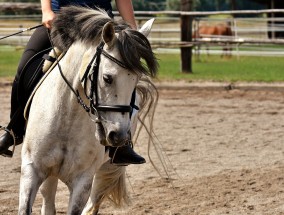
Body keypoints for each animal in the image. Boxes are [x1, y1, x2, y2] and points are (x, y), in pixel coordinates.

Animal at [18, 5, 159, 214]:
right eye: (107, 78)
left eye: (136, 80)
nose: (118, 136)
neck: (67, 117)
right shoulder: (32, 170)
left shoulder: (82, 181)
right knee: (48, 199)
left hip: (109, 167)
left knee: (93, 204)